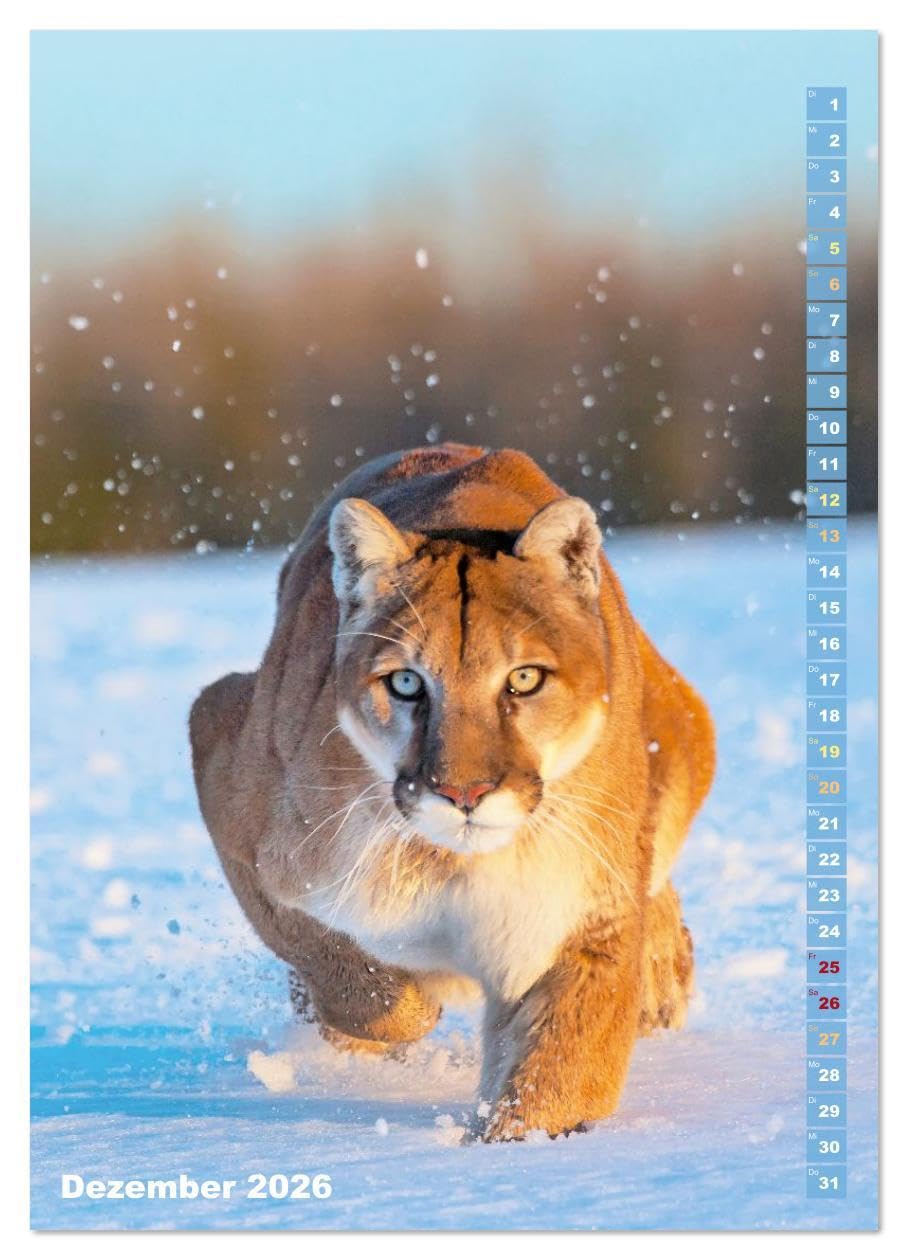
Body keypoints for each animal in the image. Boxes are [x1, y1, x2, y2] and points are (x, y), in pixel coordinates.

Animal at [189, 443, 714, 1141]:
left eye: (524, 679)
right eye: (407, 683)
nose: (465, 793)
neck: (452, 861)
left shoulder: (577, 923)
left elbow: (559, 1081)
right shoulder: (228, 768)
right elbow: (354, 976)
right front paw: (404, 1001)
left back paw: (662, 978)